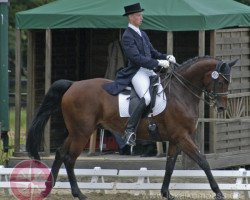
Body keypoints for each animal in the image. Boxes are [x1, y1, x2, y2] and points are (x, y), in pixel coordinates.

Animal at [26, 56, 237, 200]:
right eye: (221, 81)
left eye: (228, 81)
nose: (221, 108)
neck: (181, 93)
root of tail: (73, 85)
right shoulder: (182, 137)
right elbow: (203, 161)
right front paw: (218, 192)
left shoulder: (176, 139)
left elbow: (170, 166)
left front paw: (166, 193)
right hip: (82, 133)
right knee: (69, 158)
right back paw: (78, 193)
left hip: (77, 131)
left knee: (61, 153)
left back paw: (48, 188)